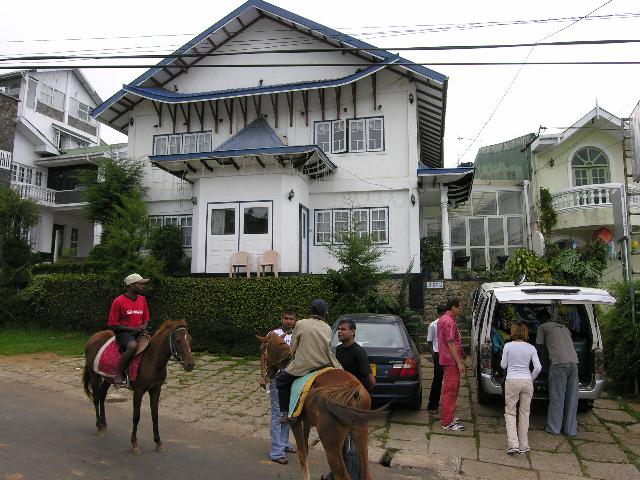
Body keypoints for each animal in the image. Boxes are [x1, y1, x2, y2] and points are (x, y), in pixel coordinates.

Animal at [82, 319, 195, 454]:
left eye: (190, 339)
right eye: (178, 340)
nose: (190, 364)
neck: (152, 358)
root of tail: (93, 338)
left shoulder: (156, 389)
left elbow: (155, 415)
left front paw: (158, 442)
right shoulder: (138, 391)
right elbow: (136, 416)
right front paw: (134, 444)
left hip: (107, 378)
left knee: (102, 397)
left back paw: (104, 425)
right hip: (94, 376)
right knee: (96, 399)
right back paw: (99, 427)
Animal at [258, 332, 385, 480]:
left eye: (262, 349)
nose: (267, 377)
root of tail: (354, 386)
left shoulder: (295, 422)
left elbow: (302, 454)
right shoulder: (306, 421)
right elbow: (306, 450)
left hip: (330, 442)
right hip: (360, 433)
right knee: (366, 473)